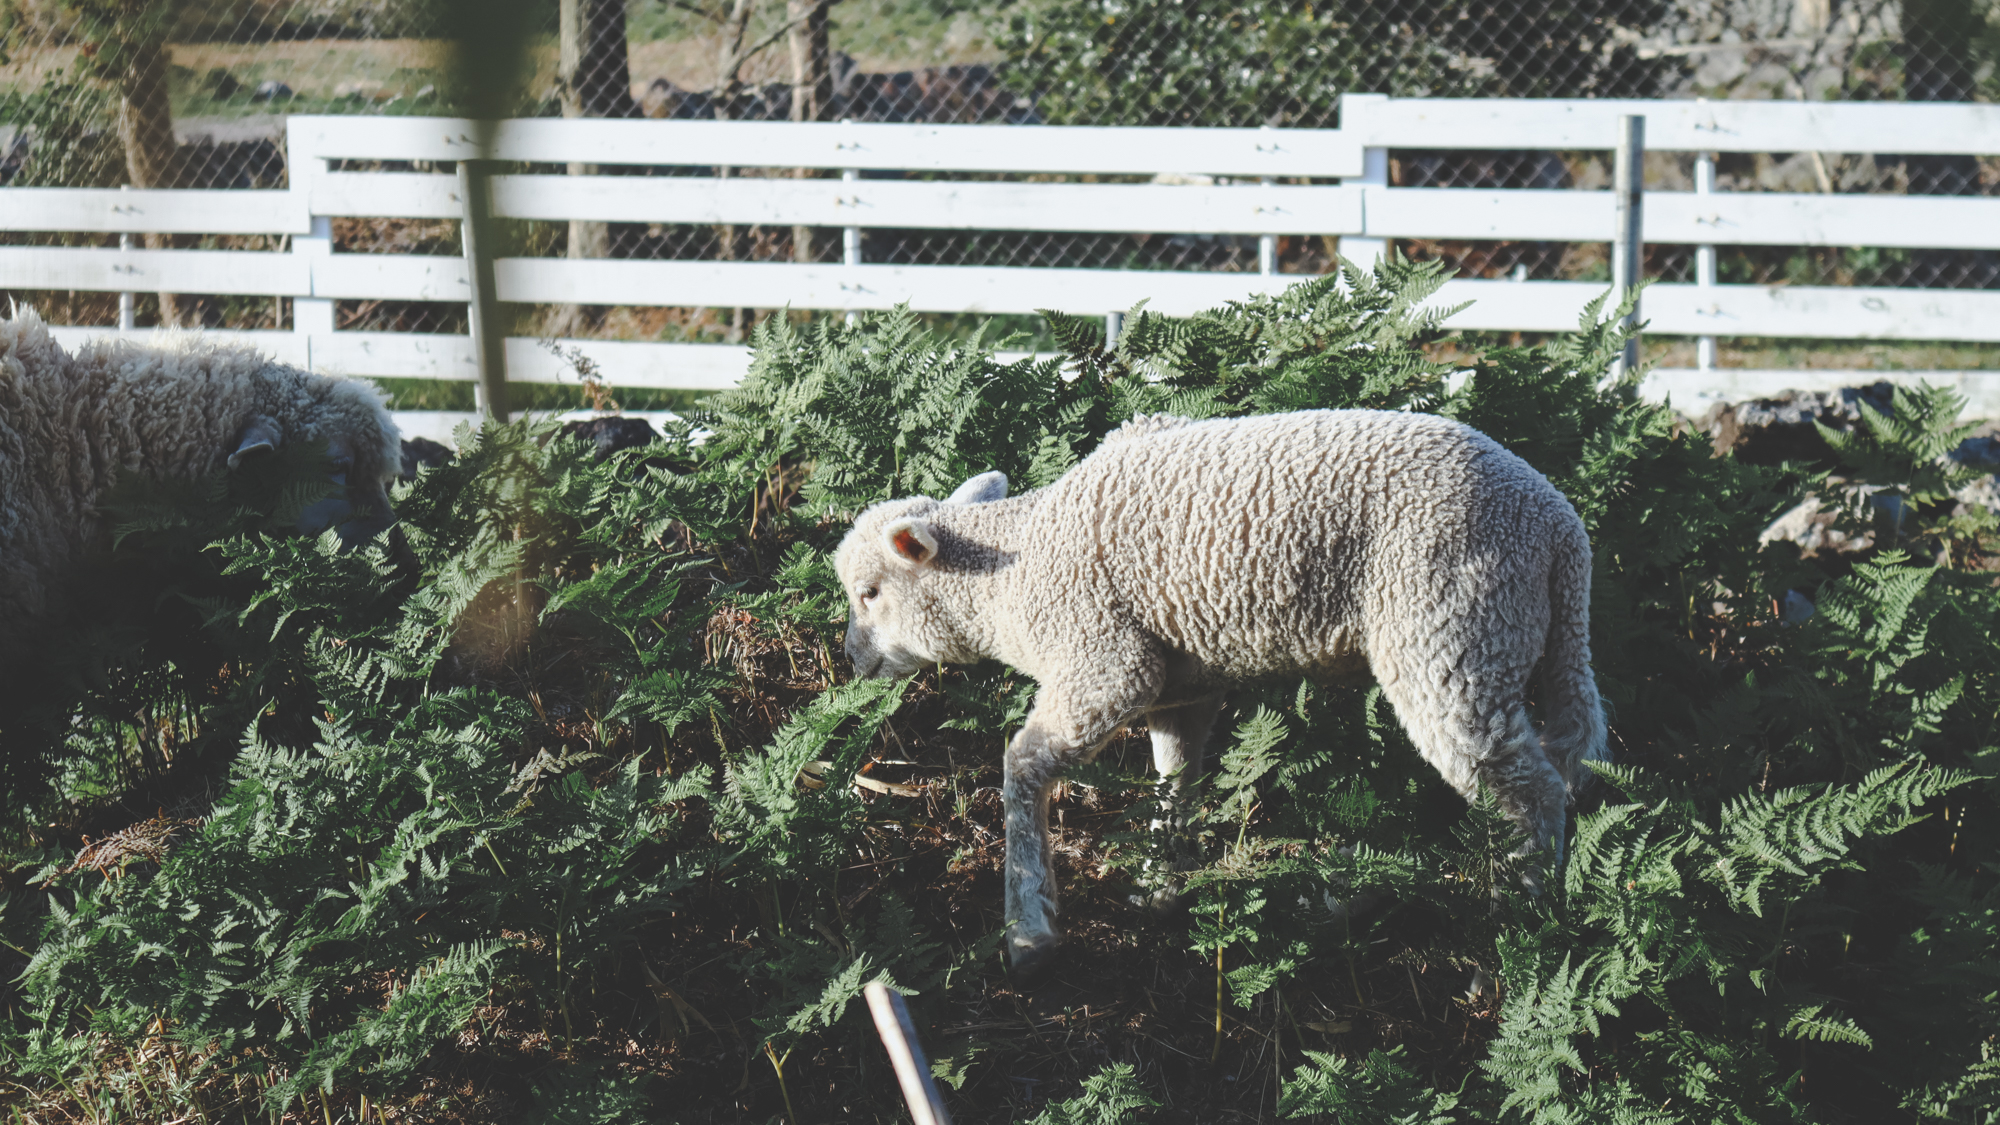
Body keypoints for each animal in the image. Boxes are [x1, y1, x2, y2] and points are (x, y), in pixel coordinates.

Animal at [832, 404, 1608, 980]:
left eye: (869, 592)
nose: (851, 659)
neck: (1013, 577)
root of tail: (1558, 526)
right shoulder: (1181, 685)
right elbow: (1175, 779)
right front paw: (1159, 889)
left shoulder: (1105, 659)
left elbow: (1021, 765)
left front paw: (1030, 929)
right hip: (1518, 637)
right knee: (1560, 762)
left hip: (1451, 630)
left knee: (1531, 789)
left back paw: (1517, 920)